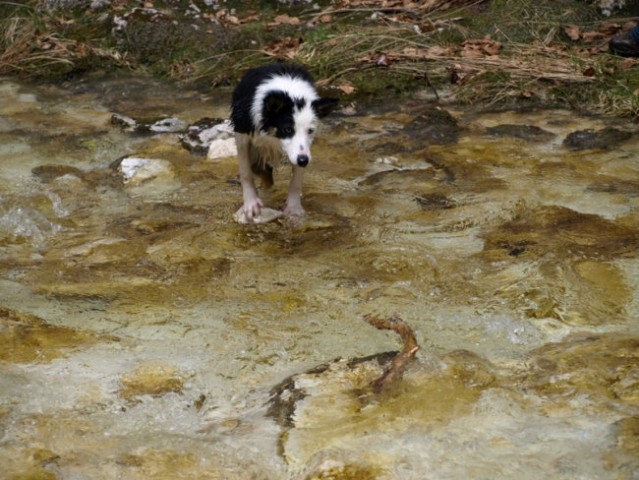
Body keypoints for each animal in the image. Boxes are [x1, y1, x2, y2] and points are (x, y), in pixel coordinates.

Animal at [231, 62, 340, 220]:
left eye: (310, 130)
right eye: (288, 130)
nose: (303, 161)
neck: (292, 93)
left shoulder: (302, 151)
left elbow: (296, 180)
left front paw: (294, 208)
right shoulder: (242, 131)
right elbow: (245, 171)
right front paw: (251, 203)